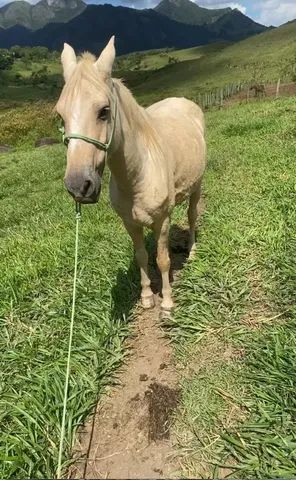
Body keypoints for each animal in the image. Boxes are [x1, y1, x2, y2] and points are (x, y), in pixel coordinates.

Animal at [56, 35, 207, 316]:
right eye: (60, 115)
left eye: (104, 111)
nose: (78, 186)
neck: (138, 175)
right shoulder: (130, 223)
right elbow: (141, 256)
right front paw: (147, 297)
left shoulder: (162, 222)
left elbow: (163, 259)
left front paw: (167, 303)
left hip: (197, 186)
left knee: (193, 216)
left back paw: (192, 251)